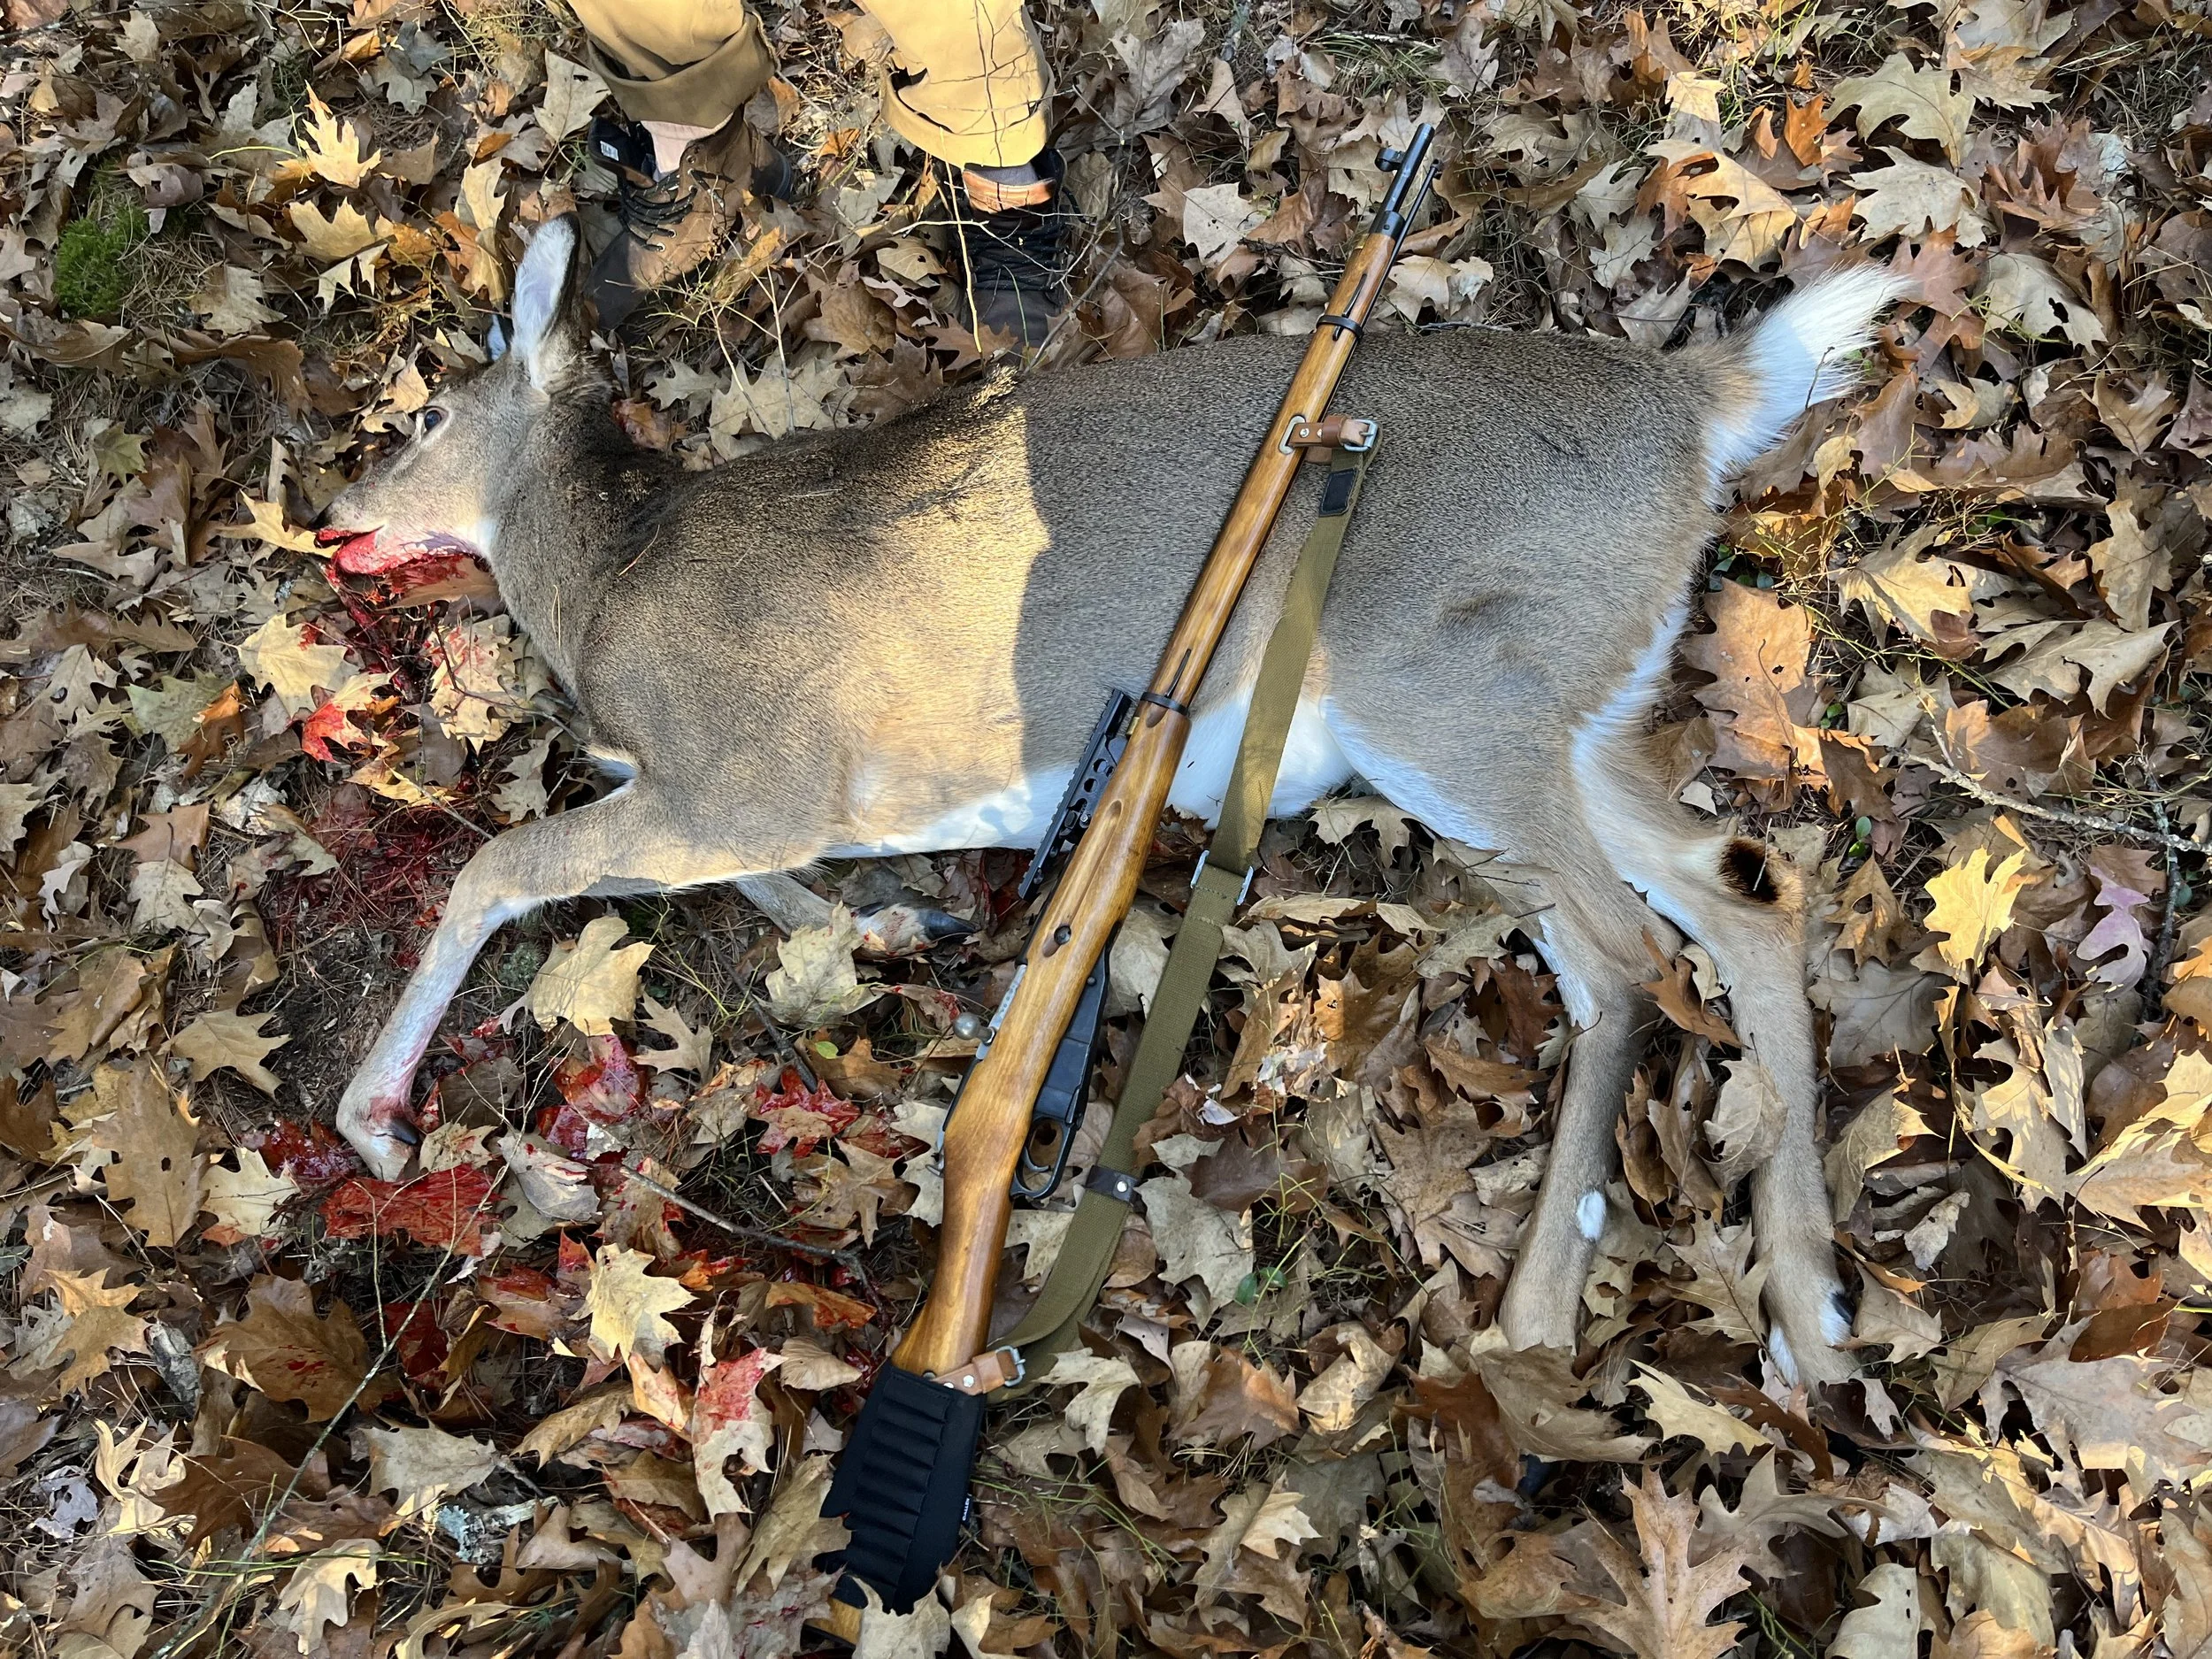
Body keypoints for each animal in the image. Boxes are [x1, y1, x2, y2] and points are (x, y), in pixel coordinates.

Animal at [319, 214, 1901, 1386]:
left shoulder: (747, 773)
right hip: (1575, 704)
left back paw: (1537, 1317)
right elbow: (764, 887)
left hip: (1443, 692)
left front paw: (377, 1121)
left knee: (1624, 955)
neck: (607, 585)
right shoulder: (738, 801)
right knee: (1749, 887)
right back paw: (1814, 1312)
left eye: (428, 409)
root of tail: (1694, 407)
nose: (336, 510)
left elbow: (499, 865)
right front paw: (887, 921)